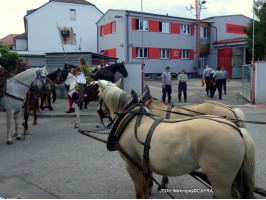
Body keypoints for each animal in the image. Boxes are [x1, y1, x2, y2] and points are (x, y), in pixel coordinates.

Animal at [96, 80, 255, 199]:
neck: (131, 118)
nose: (98, 112)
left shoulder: (132, 165)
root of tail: (237, 130)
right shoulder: (143, 163)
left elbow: (141, 192)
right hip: (236, 177)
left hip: (221, 183)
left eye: (98, 95)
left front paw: (158, 186)